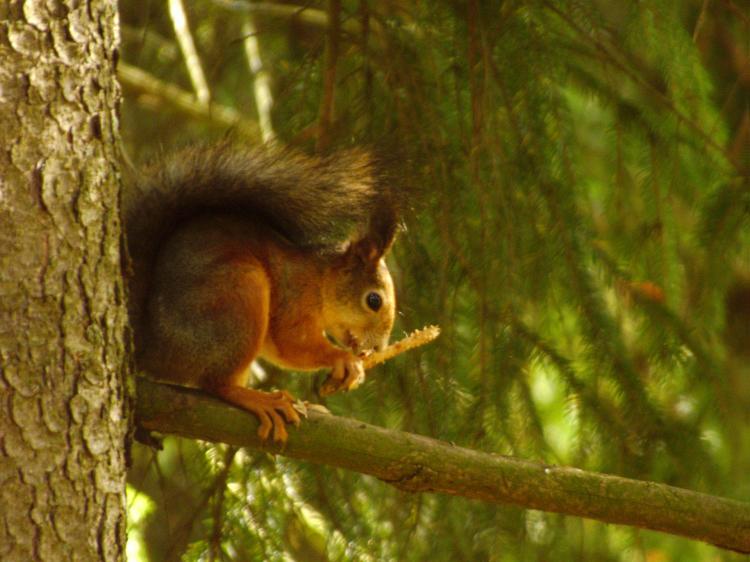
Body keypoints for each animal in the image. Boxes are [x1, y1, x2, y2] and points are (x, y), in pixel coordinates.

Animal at [124, 142, 405, 443]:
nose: (378, 349)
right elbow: (292, 344)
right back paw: (259, 400)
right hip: (238, 295)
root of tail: (151, 344)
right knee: (215, 384)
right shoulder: (293, 296)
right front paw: (343, 359)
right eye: (374, 300)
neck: (319, 281)